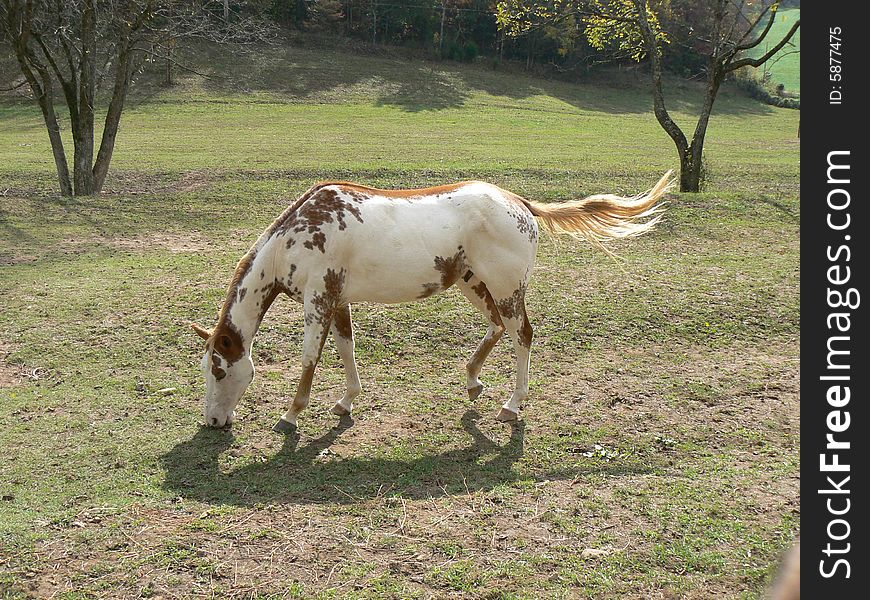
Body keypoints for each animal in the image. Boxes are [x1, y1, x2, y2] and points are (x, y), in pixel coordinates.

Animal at [192, 171, 676, 434]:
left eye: (219, 369)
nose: (212, 422)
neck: (296, 237)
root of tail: (520, 203)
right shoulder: (338, 301)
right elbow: (346, 349)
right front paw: (347, 400)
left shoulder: (318, 301)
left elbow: (311, 357)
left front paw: (291, 415)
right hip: (472, 283)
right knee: (497, 328)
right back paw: (473, 381)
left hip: (506, 289)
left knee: (522, 334)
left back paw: (512, 404)